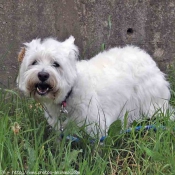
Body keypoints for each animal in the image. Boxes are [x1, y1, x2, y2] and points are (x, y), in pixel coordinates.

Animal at [16, 36, 171, 137]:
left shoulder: (96, 125)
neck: (69, 94)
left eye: (56, 64)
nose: (43, 75)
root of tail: (144, 54)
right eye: (34, 62)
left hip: (153, 103)